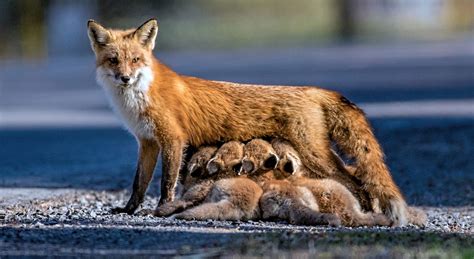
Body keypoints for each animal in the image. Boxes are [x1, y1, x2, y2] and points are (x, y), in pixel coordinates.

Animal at [87, 18, 410, 225]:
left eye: (136, 60)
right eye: (114, 60)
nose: (125, 78)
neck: (139, 97)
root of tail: (314, 90)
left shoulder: (173, 140)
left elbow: (166, 183)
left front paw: (160, 210)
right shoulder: (148, 143)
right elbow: (138, 184)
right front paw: (128, 210)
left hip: (315, 156)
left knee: (359, 183)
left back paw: (367, 213)